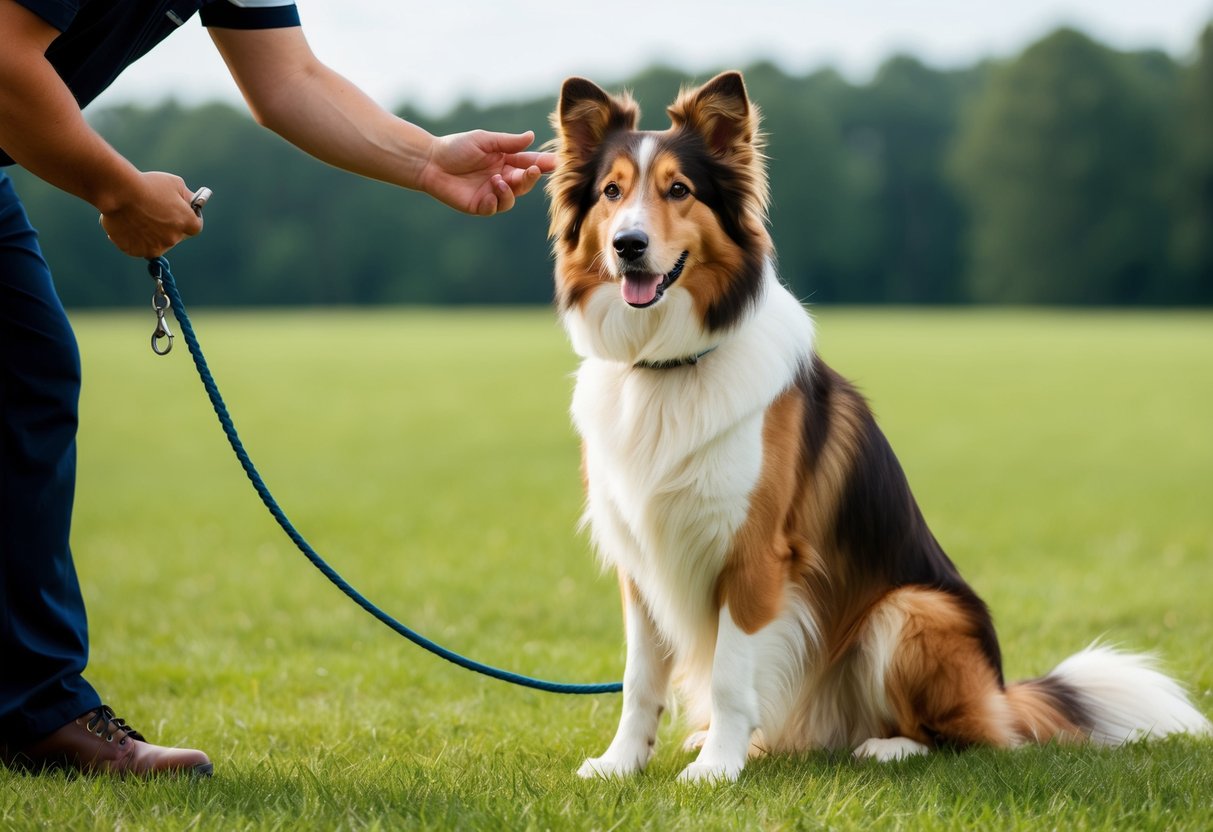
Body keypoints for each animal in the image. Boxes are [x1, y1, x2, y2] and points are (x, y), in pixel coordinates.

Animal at [545, 71, 1208, 781]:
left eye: (679, 190)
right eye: (612, 192)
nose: (629, 246)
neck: (668, 365)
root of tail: (1001, 693)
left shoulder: (755, 557)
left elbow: (727, 675)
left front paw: (718, 770)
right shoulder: (641, 557)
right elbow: (640, 680)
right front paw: (621, 763)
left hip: (910, 608)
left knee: (968, 737)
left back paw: (886, 746)